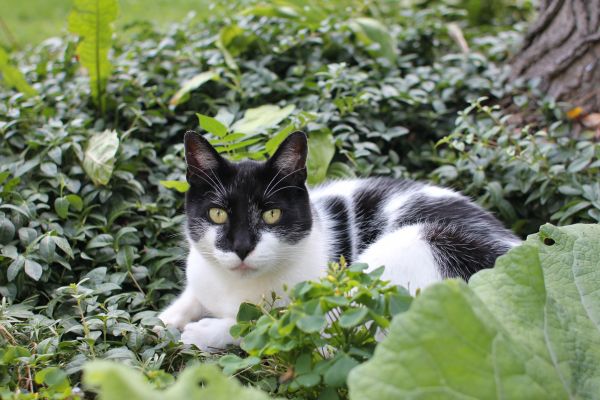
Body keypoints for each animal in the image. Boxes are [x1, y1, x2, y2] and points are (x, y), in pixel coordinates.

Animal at [159, 130, 520, 350]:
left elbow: (266, 324)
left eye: (272, 214)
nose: (242, 247)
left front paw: (204, 330)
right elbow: (190, 297)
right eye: (217, 214)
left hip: (418, 245)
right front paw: (164, 320)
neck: (232, 287)